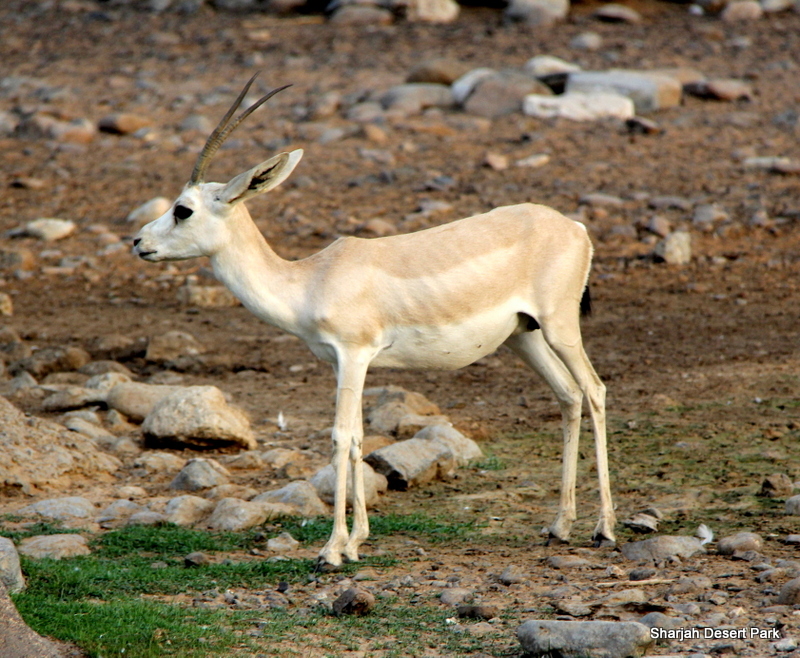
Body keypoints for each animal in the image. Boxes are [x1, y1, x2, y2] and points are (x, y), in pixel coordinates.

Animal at [133, 75, 616, 569]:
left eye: (183, 209)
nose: (138, 242)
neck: (310, 279)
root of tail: (575, 227)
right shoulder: (342, 363)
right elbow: (361, 438)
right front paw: (355, 541)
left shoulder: (354, 354)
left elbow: (341, 436)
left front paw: (330, 550)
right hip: (524, 337)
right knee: (568, 395)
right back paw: (560, 527)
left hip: (559, 327)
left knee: (594, 390)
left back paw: (604, 529)